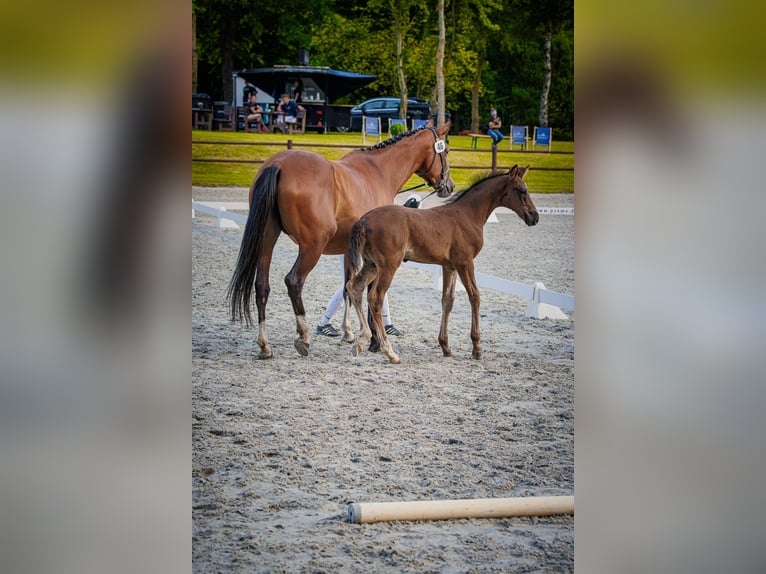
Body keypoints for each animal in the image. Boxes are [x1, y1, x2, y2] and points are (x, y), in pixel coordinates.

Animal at [228, 121, 455, 359]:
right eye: (446, 151)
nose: (449, 185)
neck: (378, 171)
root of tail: (278, 164)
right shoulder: (375, 257)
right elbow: (368, 292)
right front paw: (374, 341)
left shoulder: (348, 250)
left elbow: (348, 288)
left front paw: (349, 333)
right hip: (312, 247)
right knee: (294, 281)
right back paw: (303, 337)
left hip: (267, 239)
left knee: (262, 286)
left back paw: (265, 346)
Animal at [342, 165, 538, 364]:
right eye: (522, 190)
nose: (534, 217)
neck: (467, 215)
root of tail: (363, 221)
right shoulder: (465, 263)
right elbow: (474, 296)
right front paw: (477, 348)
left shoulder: (449, 266)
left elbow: (447, 300)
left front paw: (445, 346)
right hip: (389, 266)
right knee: (375, 297)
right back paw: (389, 351)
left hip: (371, 264)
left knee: (354, 287)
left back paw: (361, 341)